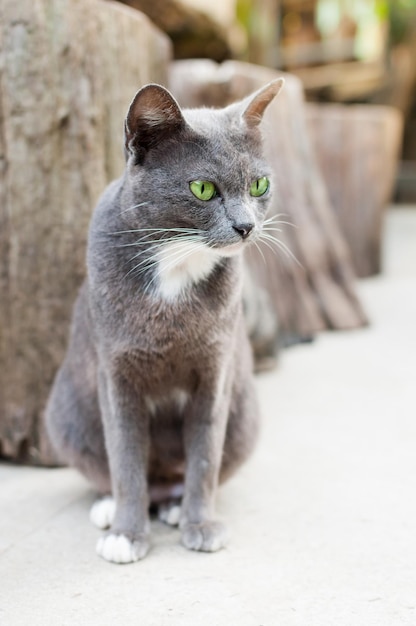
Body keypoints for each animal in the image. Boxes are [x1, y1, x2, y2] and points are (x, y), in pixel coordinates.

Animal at [46, 77, 282, 560]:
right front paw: (126, 533)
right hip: (65, 413)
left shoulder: (215, 370)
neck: (176, 269)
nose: (246, 226)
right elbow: (125, 456)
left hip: (245, 414)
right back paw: (111, 506)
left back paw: (173, 505)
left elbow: (205, 454)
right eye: (203, 189)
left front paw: (201, 524)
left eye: (259, 184)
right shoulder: (116, 373)